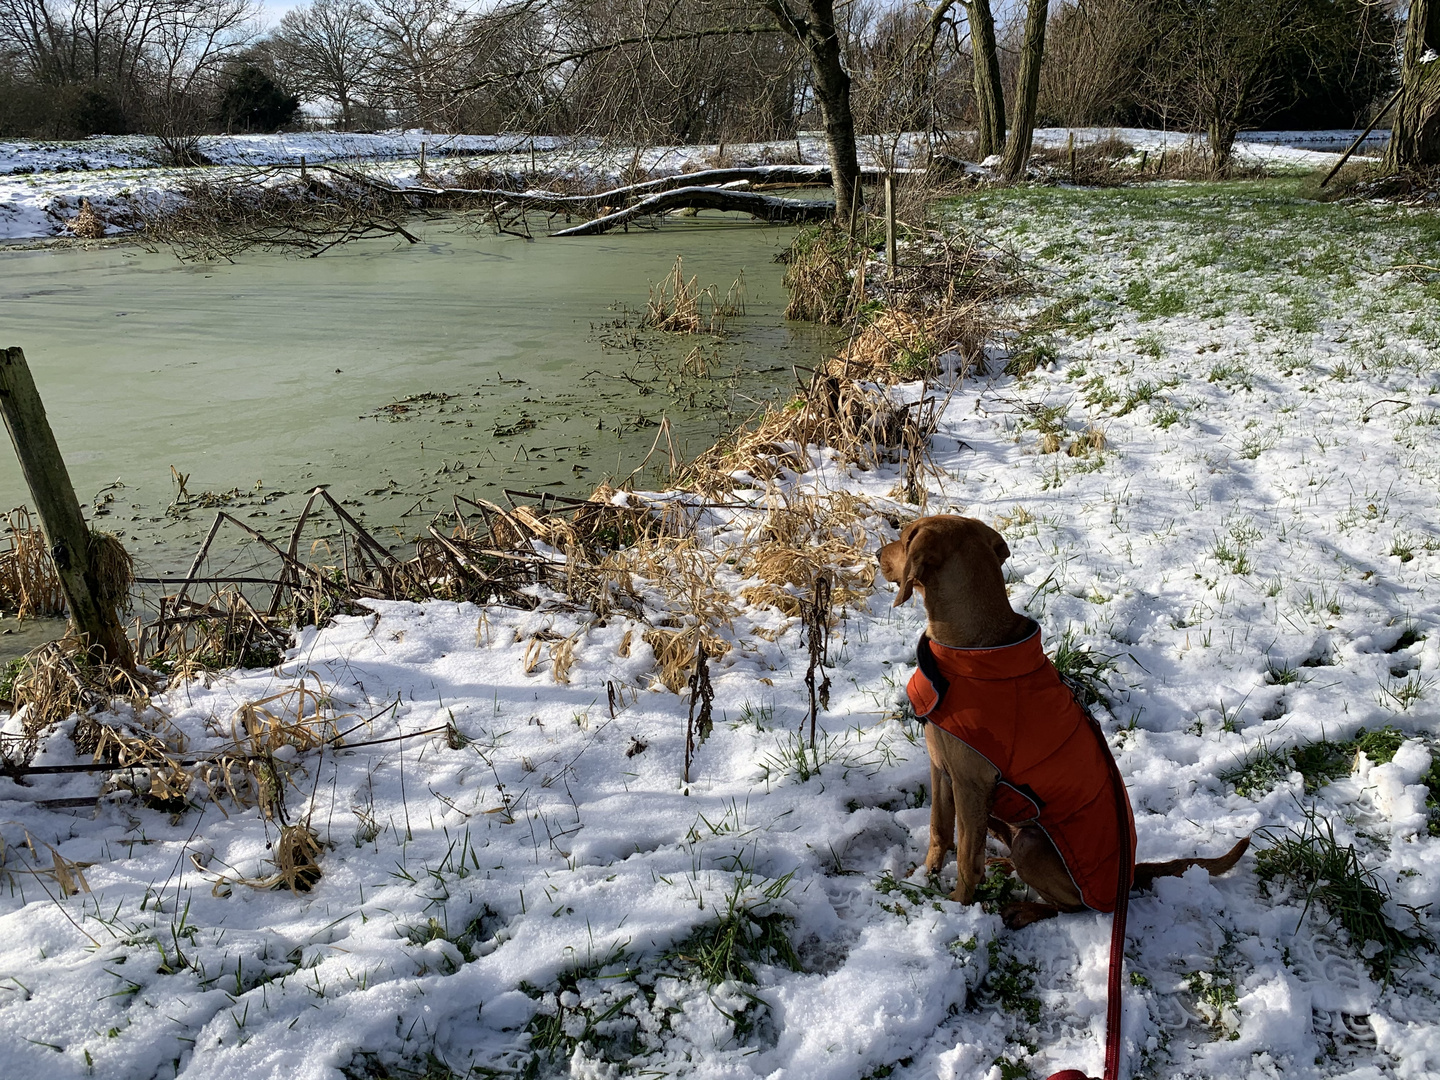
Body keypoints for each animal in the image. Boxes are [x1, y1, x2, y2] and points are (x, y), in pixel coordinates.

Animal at [875, 518, 1249, 933]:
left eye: (904, 537)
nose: (875, 555)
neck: (974, 648)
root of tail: (1129, 875)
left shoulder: (971, 783)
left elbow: (968, 861)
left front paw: (956, 908)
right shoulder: (941, 768)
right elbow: (938, 831)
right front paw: (923, 878)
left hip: (1033, 844)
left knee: (1070, 907)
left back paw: (1024, 908)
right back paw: (1003, 865)